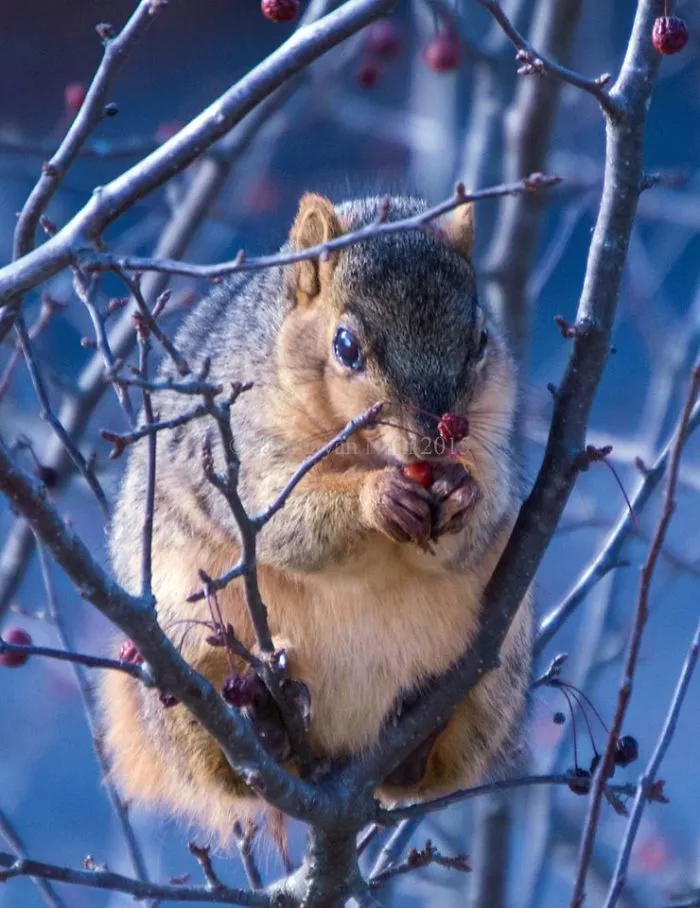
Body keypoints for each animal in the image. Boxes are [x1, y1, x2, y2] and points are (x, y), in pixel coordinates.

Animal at [100, 192, 533, 847]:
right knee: (225, 766)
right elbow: (283, 519)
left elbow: (484, 515)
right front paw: (377, 498)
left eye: (482, 338)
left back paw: (415, 739)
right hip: (181, 653)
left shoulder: (497, 431)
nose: (434, 440)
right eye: (346, 346)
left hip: (504, 664)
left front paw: (464, 495)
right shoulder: (238, 451)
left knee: (422, 773)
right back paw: (266, 724)